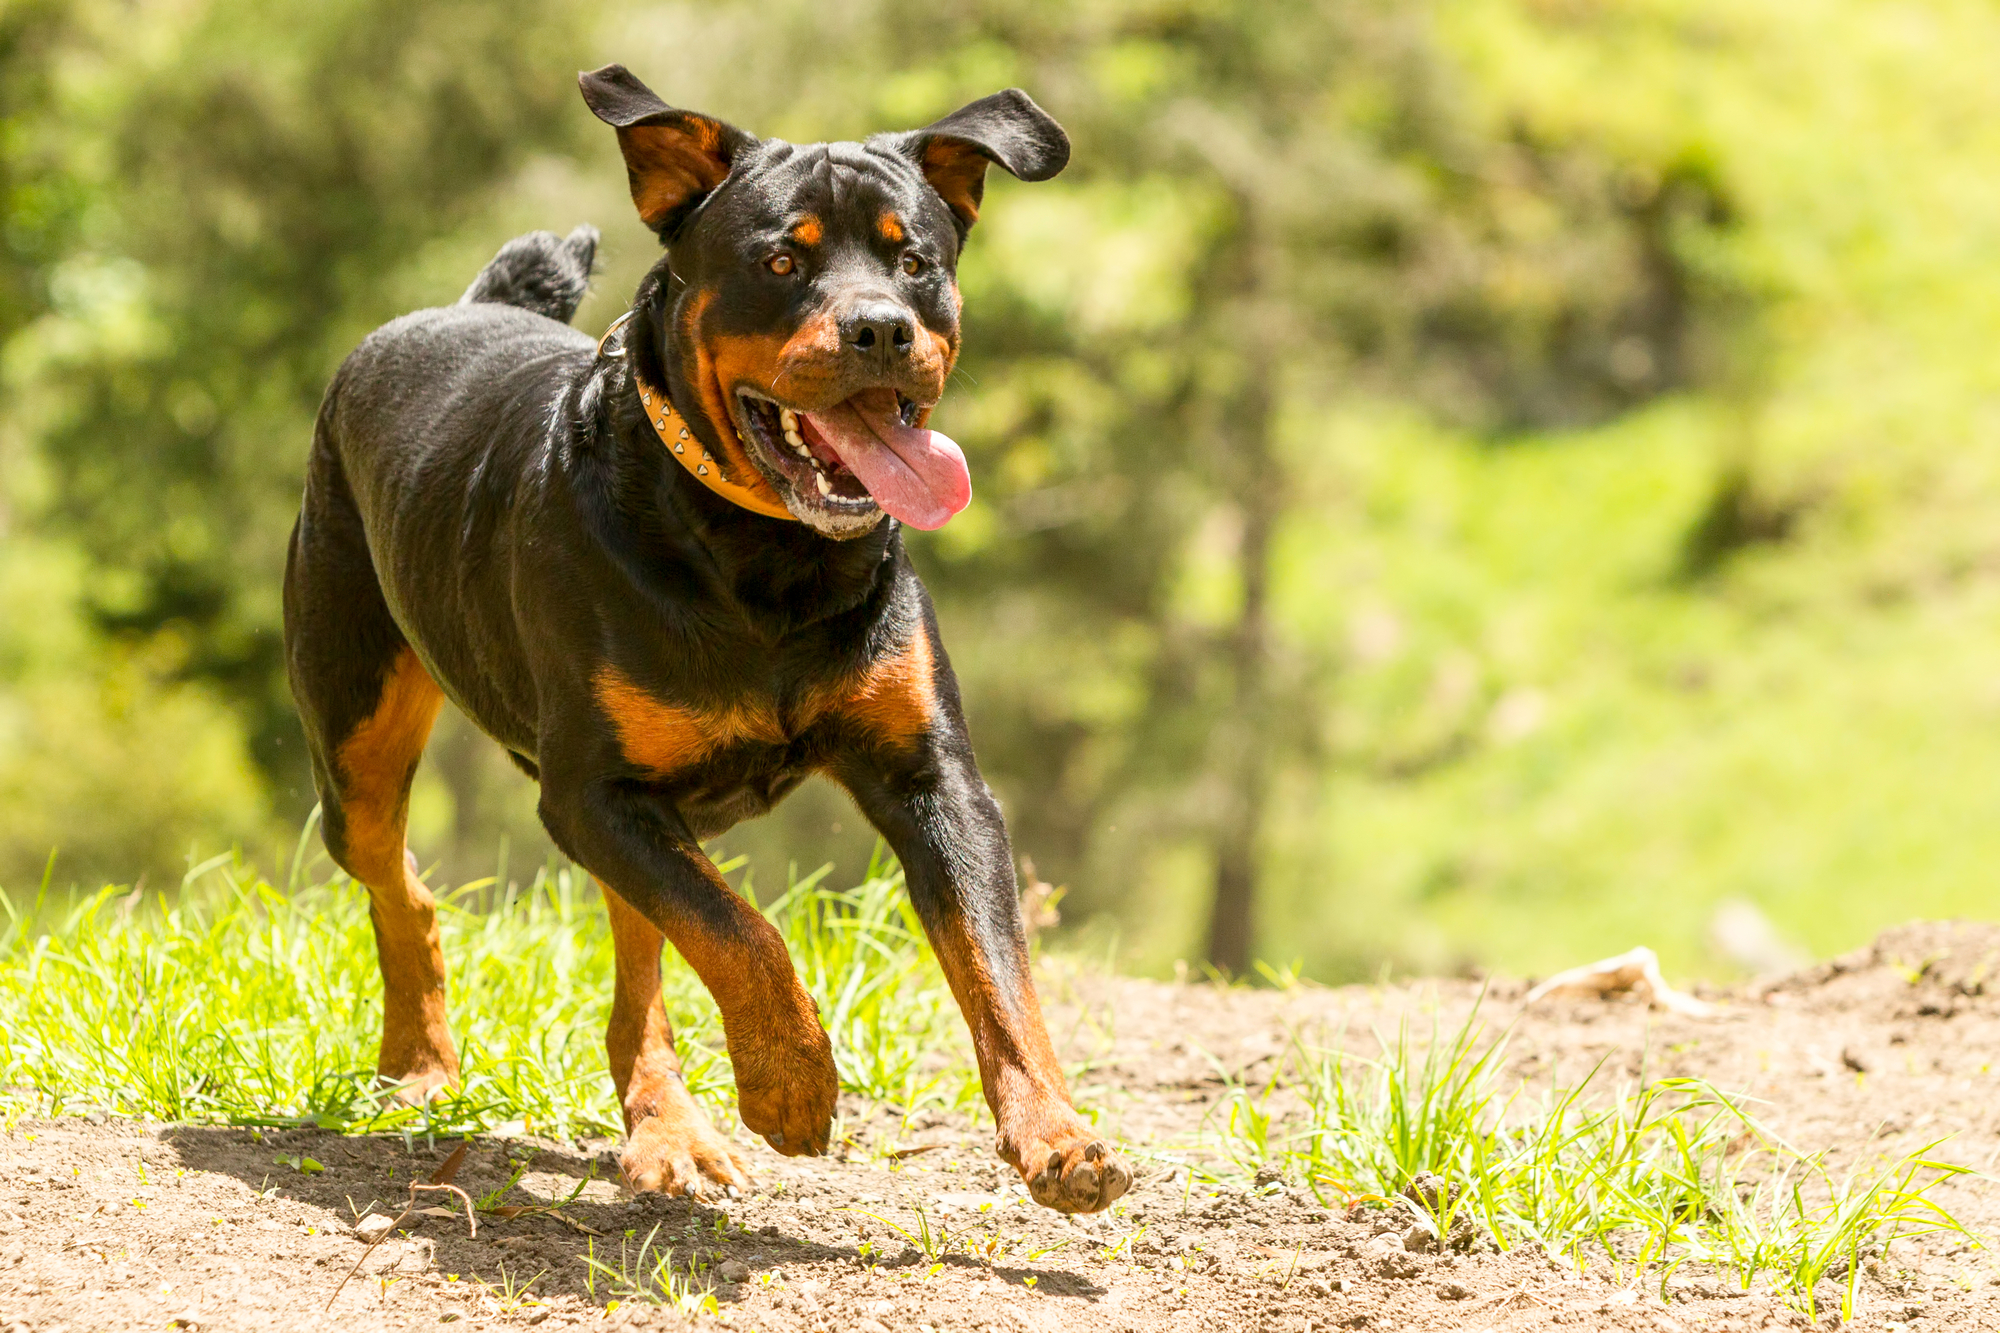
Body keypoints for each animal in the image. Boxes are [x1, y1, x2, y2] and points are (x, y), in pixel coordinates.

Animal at [278, 62, 1128, 1208]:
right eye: (781, 260)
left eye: (913, 262)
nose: (879, 329)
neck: (767, 557)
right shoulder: (593, 788)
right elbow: (741, 931)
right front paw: (790, 1084)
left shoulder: (933, 779)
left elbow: (995, 970)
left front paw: (1057, 1135)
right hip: (358, 726)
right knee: (399, 884)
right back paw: (419, 1062)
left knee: (636, 954)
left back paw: (664, 1126)